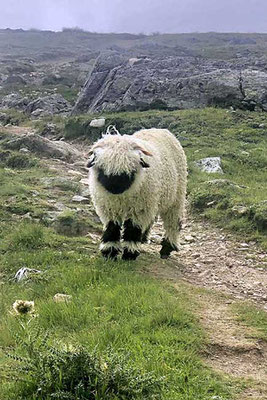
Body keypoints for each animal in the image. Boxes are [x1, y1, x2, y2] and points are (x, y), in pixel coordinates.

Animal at [87, 128, 187, 260]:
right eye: (102, 168)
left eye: (131, 170)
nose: (115, 188)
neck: (121, 197)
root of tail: (160, 129)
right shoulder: (109, 208)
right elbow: (112, 227)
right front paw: (110, 252)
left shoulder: (139, 209)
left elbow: (132, 229)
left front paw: (129, 254)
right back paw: (144, 238)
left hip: (176, 196)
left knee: (173, 221)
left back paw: (167, 248)